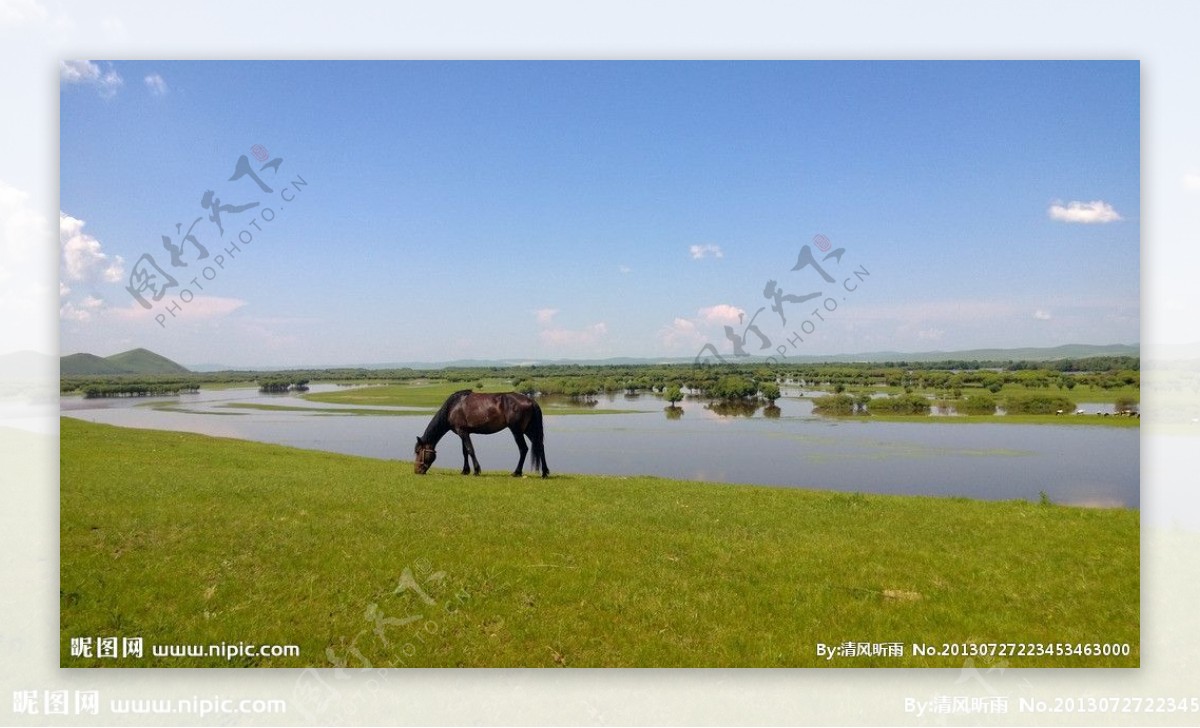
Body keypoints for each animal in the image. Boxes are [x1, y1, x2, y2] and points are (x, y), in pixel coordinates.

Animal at [410, 393, 547, 479]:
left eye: (418, 451)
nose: (417, 470)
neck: (453, 407)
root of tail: (531, 401)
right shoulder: (463, 433)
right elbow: (465, 452)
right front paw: (465, 470)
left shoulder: (463, 432)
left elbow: (470, 450)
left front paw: (476, 470)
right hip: (528, 430)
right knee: (540, 446)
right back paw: (545, 473)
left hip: (517, 431)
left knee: (523, 449)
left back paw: (516, 472)